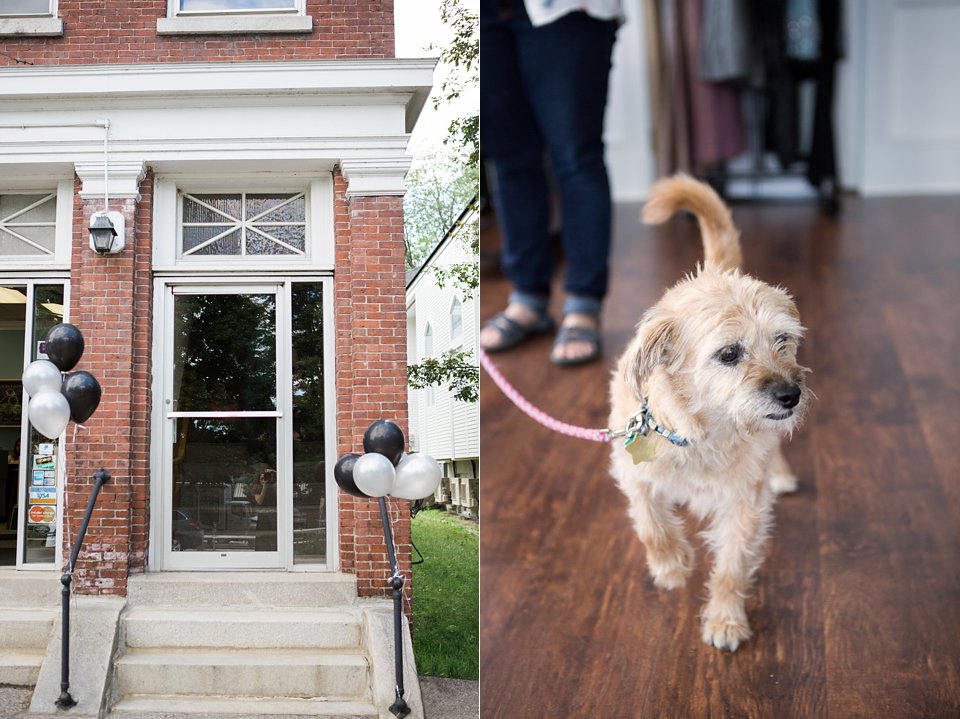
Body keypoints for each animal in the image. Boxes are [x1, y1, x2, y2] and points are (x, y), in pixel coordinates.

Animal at [608, 173, 808, 652]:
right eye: (729, 354)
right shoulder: (630, 471)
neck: (701, 432)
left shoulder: (743, 505)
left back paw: (780, 473)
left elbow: (731, 568)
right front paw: (671, 566)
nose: (791, 395)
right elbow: (651, 523)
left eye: (783, 340)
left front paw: (725, 620)